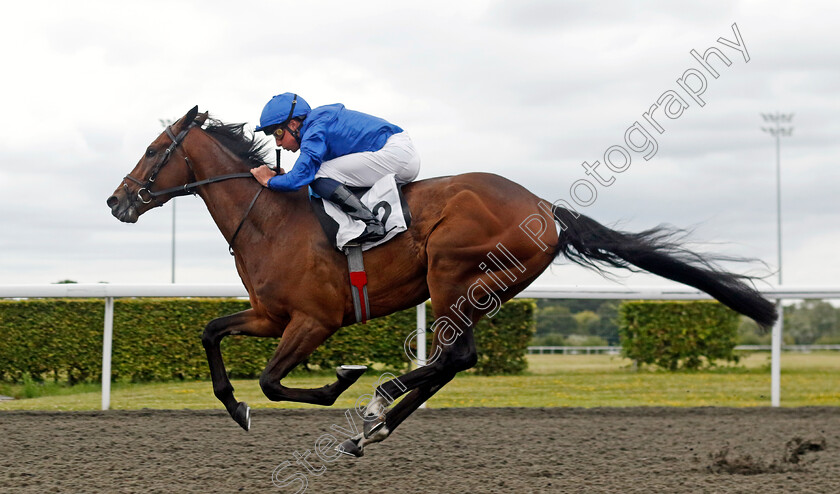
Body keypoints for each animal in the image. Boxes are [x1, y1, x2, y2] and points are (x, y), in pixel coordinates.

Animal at [108, 106, 776, 458]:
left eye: (153, 149)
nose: (117, 201)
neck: (269, 218)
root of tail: (545, 207)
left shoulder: (313, 321)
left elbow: (275, 383)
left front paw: (344, 380)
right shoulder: (271, 315)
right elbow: (210, 332)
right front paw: (235, 406)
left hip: (452, 271)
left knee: (454, 356)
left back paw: (377, 403)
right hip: (473, 288)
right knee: (457, 359)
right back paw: (374, 427)